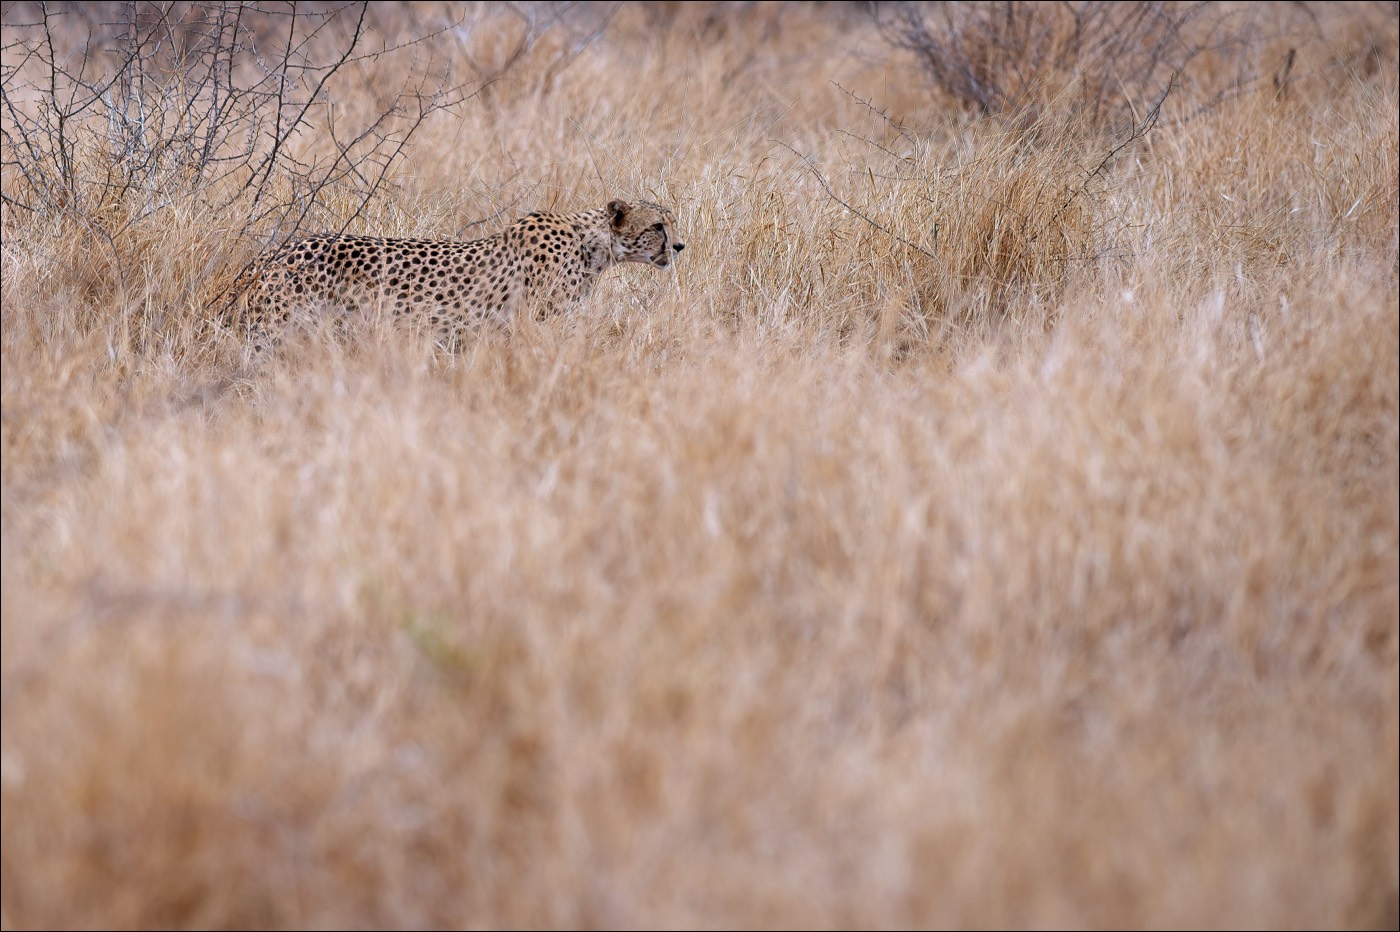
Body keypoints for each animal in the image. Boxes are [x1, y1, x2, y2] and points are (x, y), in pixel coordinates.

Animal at [228, 200, 683, 348]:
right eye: (658, 226)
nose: (679, 247)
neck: (593, 246)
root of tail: (273, 254)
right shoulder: (534, 324)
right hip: (281, 333)